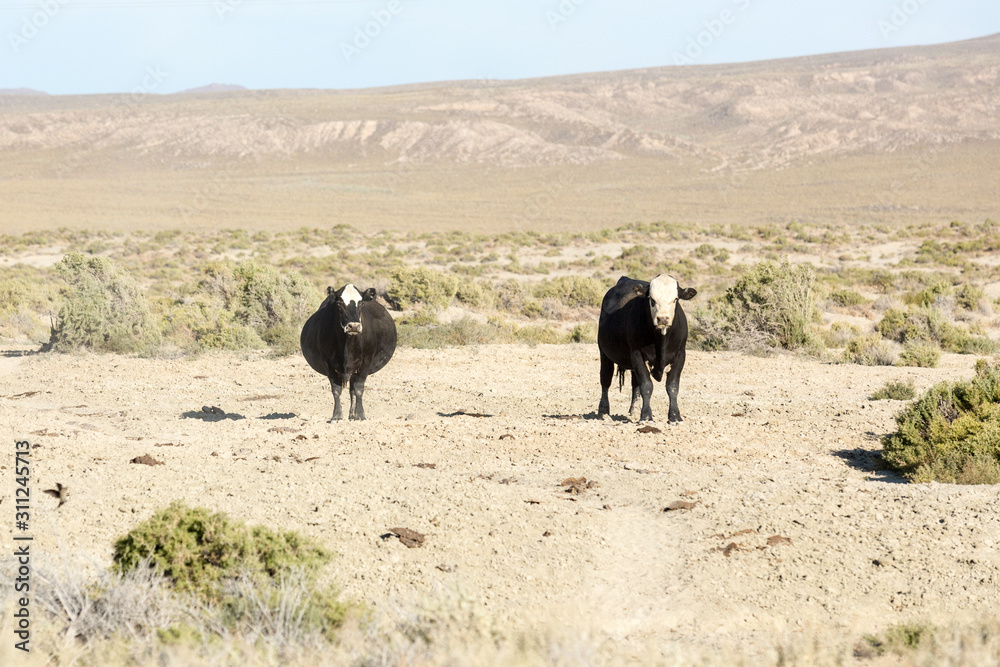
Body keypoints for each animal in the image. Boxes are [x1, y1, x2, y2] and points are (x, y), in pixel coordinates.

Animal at [301, 284, 397, 421]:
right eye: (339, 303)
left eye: (361, 303)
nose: (354, 326)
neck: (347, 345)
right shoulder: (328, 363)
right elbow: (336, 390)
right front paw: (336, 415)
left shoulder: (366, 362)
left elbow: (359, 389)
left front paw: (360, 415)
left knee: (353, 389)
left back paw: (353, 414)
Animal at [597, 274, 697, 423]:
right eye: (652, 300)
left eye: (675, 299)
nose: (663, 319)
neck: (661, 341)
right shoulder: (637, 354)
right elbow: (646, 385)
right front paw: (646, 416)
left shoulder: (680, 355)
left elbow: (672, 386)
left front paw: (674, 416)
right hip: (604, 353)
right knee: (605, 380)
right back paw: (603, 410)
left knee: (634, 383)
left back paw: (634, 410)